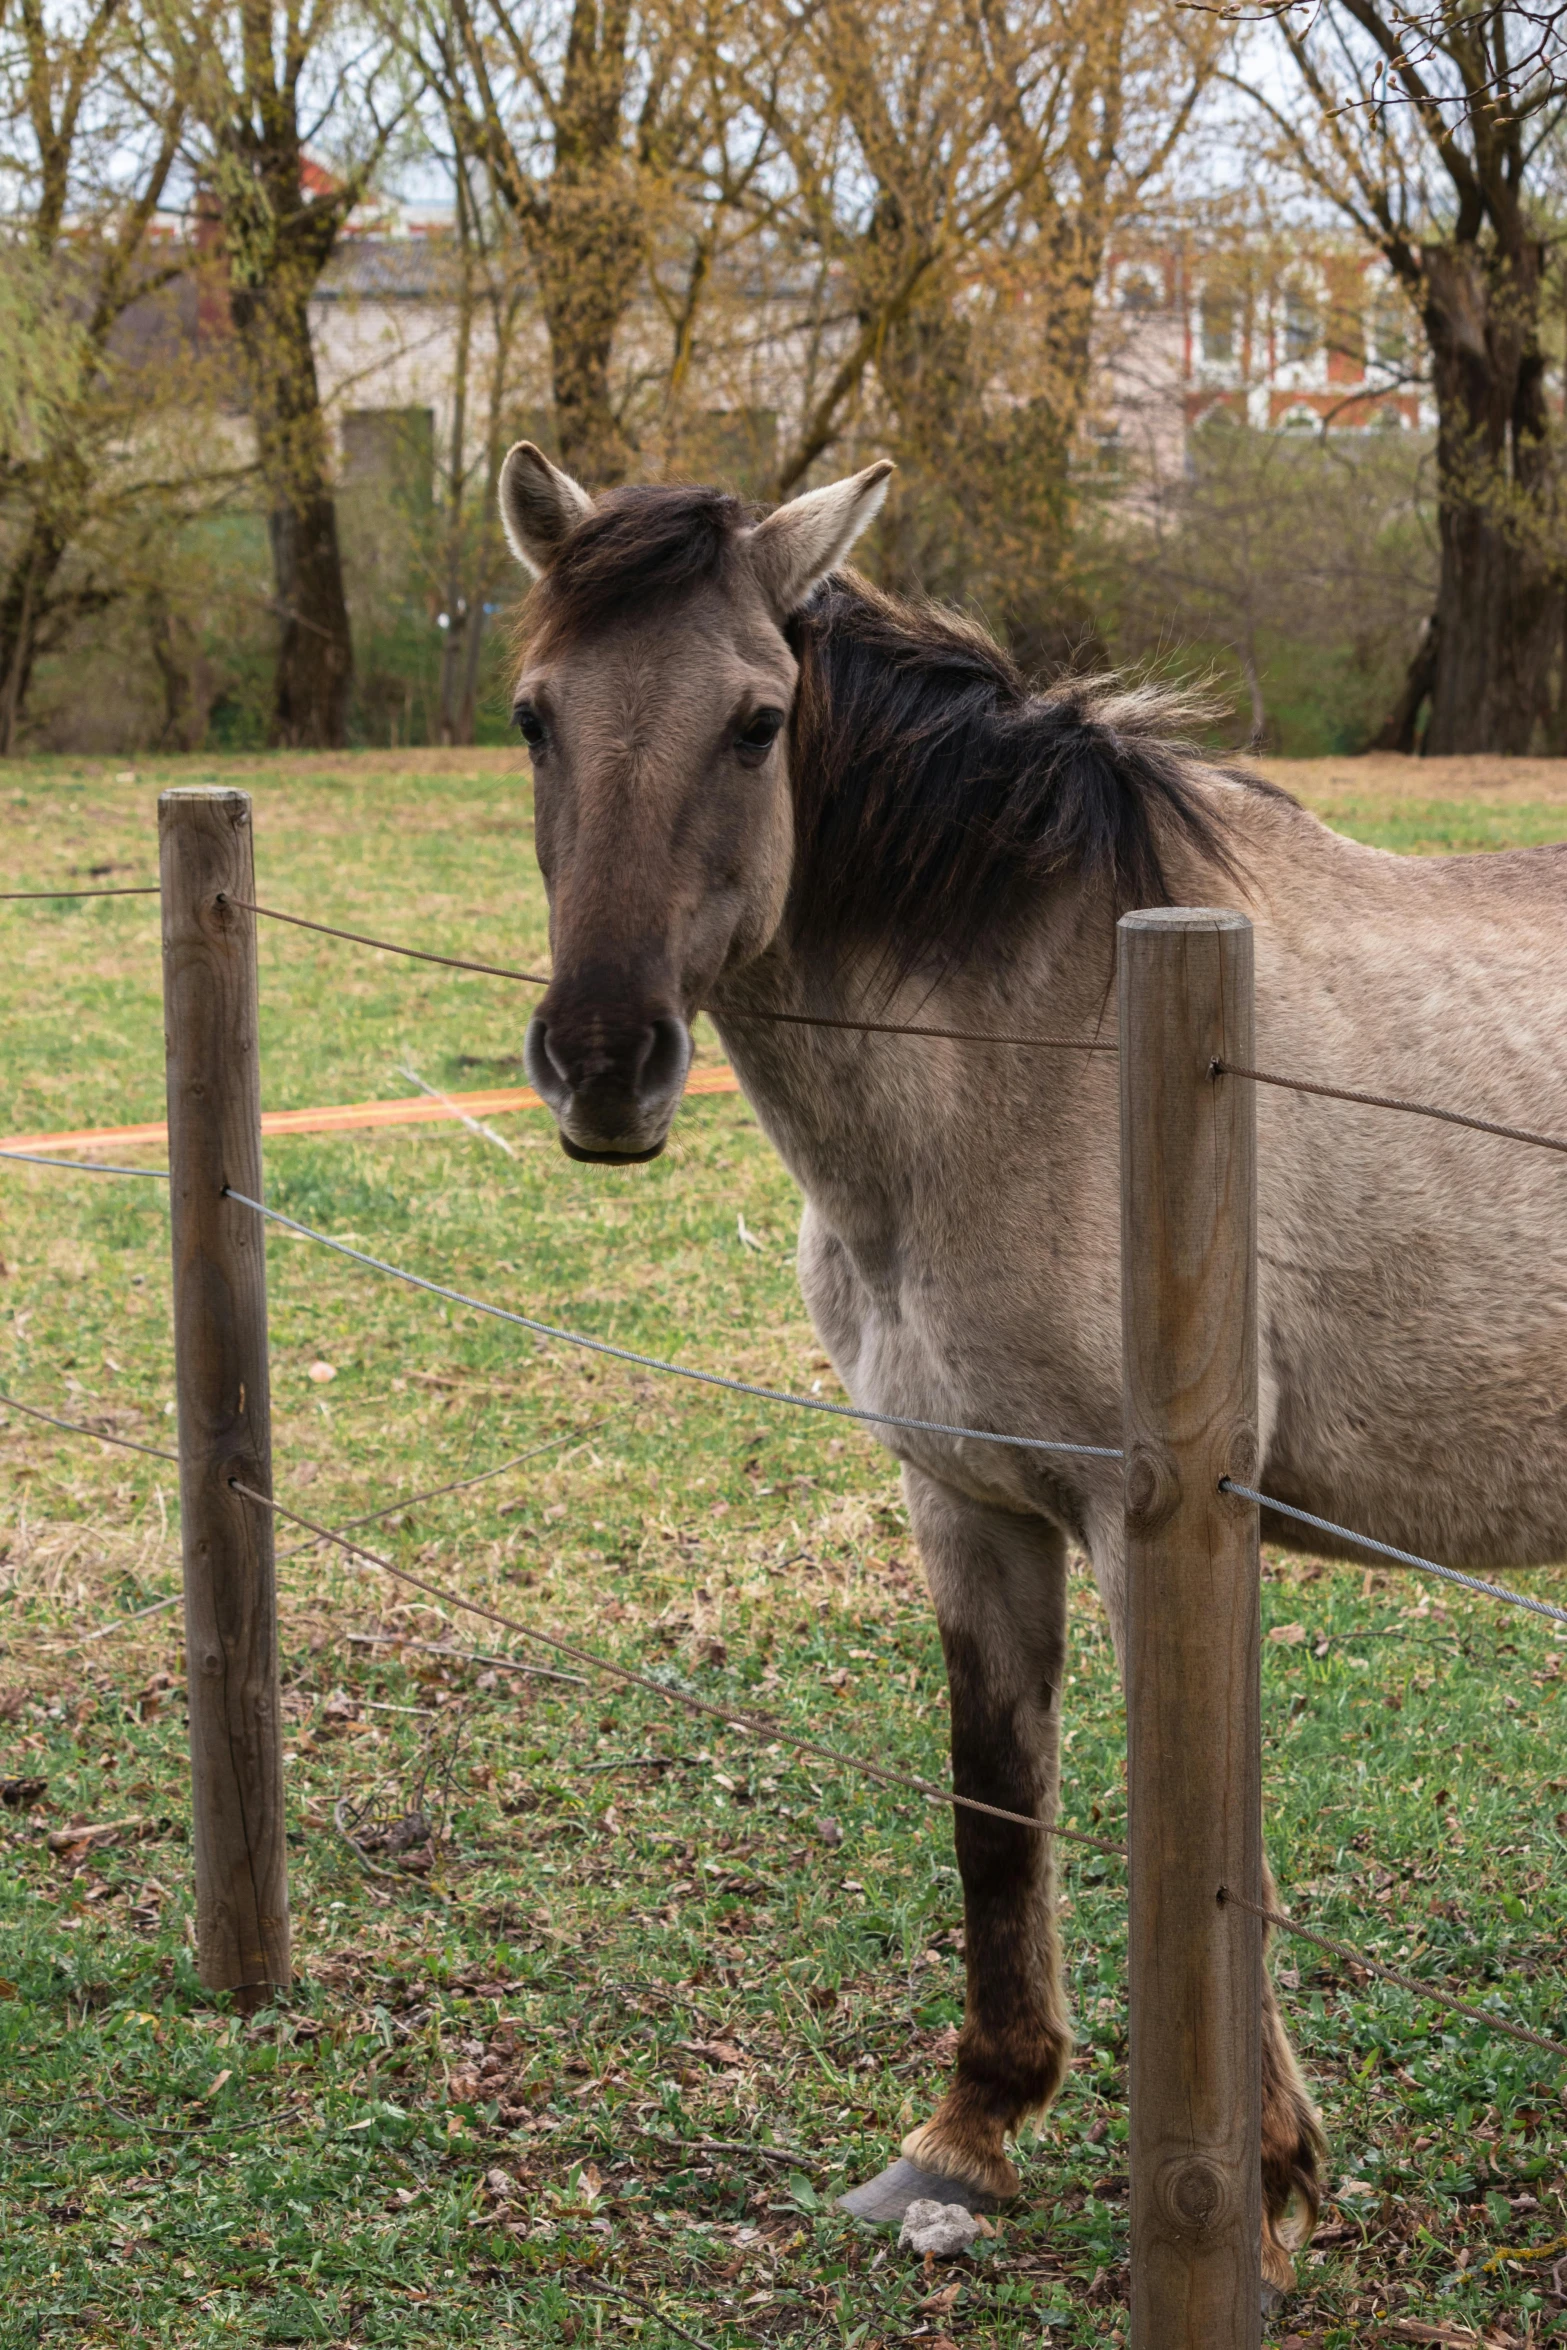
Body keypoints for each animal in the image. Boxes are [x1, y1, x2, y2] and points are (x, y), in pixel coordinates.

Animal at [491, 441, 1567, 2293]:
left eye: (755, 722)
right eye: (534, 715)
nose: (608, 1064)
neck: (1037, 1035)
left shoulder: (1159, 1527)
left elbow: (1203, 1845)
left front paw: (1258, 2195)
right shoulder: (961, 1500)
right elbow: (994, 1802)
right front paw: (966, 2135)